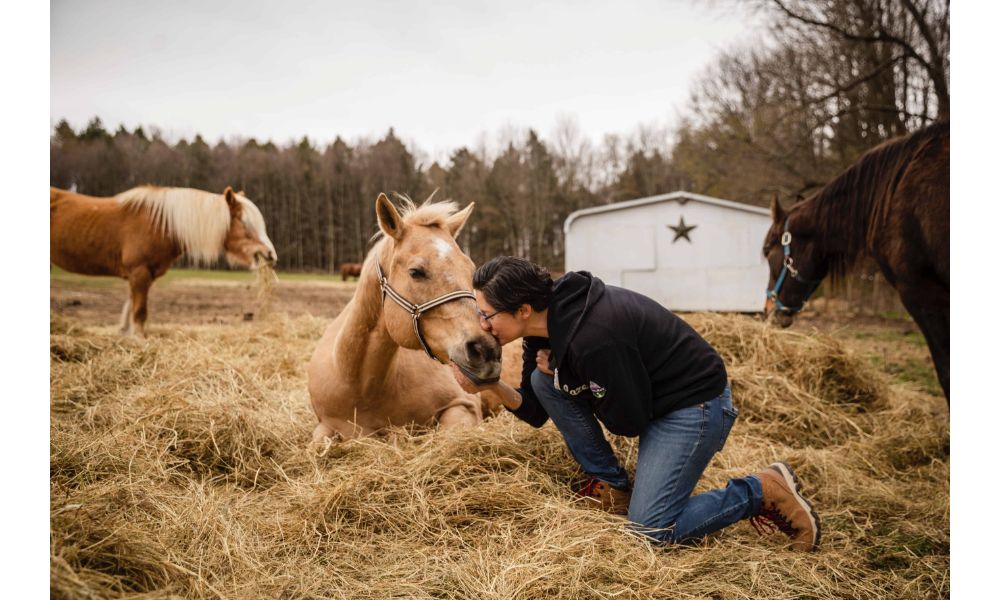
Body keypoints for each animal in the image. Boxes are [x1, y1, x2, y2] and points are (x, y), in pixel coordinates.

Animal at [50, 185, 277, 337]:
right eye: (245, 223)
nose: (270, 254)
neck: (161, 225)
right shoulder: (139, 273)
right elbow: (139, 313)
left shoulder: (140, 276)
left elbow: (130, 309)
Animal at [307, 193, 503, 440]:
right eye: (416, 272)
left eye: (470, 270)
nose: (486, 350)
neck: (360, 386)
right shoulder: (325, 425)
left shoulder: (463, 406)